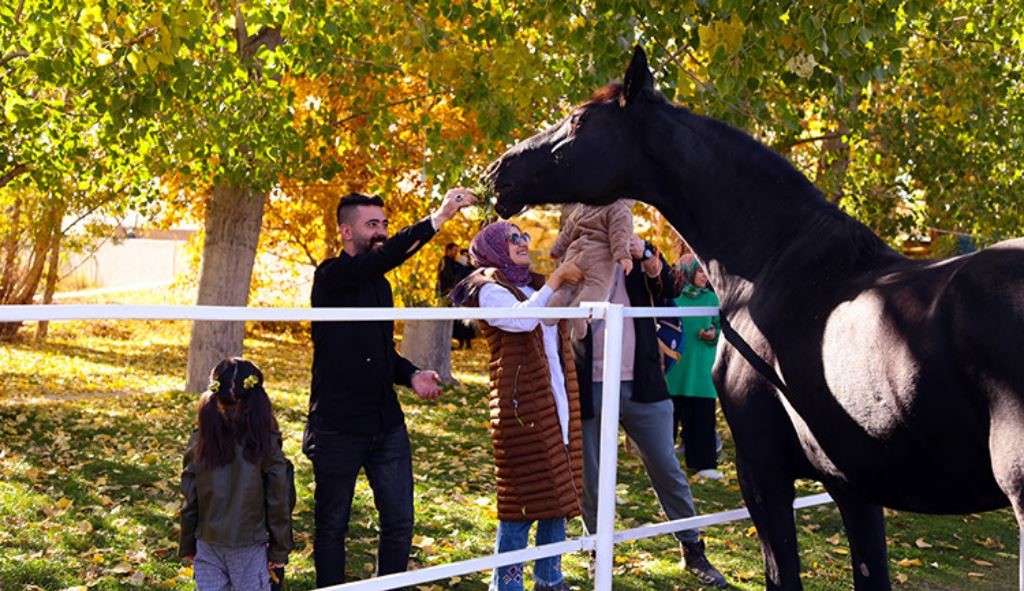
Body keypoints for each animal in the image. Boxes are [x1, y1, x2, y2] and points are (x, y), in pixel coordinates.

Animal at [481, 47, 1024, 589]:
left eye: (579, 120)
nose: (498, 170)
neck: (774, 262)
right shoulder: (854, 487)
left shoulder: (763, 474)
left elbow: (781, 575)